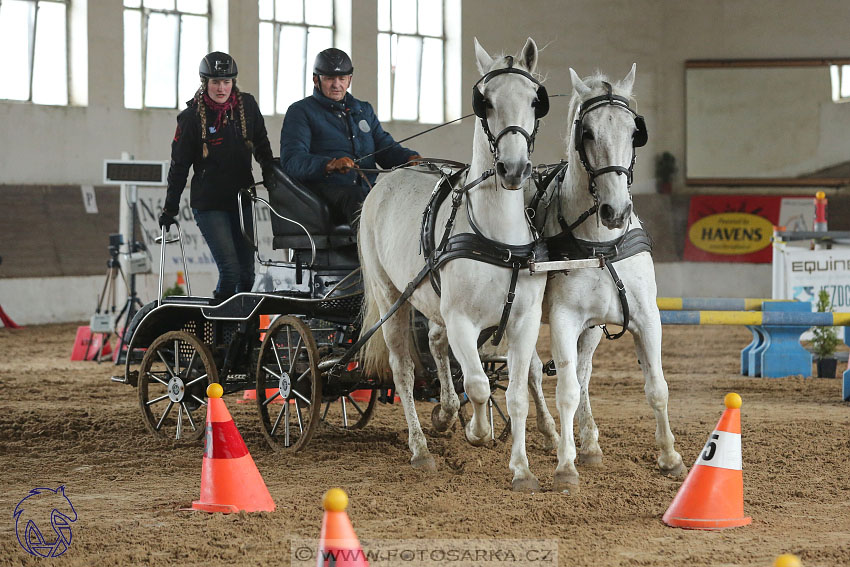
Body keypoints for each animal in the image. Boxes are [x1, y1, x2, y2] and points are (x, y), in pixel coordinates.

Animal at [356, 38, 544, 492]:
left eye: (535, 100)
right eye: (485, 102)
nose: (513, 169)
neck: (497, 236)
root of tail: (387, 178)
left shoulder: (525, 320)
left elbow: (516, 394)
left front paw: (522, 470)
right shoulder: (462, 320)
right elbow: (477, 385)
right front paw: (478, 431)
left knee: (436, 346)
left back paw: (442, 414)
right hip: (391, 297)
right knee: (404, 371)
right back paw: (421, 449)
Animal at [528, 65, 688, 492]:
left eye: (635, 132)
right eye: (587, 132)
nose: (616, 211)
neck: (601, 244)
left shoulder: (646, 317)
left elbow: (657, 387)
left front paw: (670, 457)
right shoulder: (563, 319)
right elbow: (565, 390)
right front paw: (565, 467)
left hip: (593, 327)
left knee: (581, 373)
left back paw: (588, 442)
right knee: (528, 371)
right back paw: (545, 432)